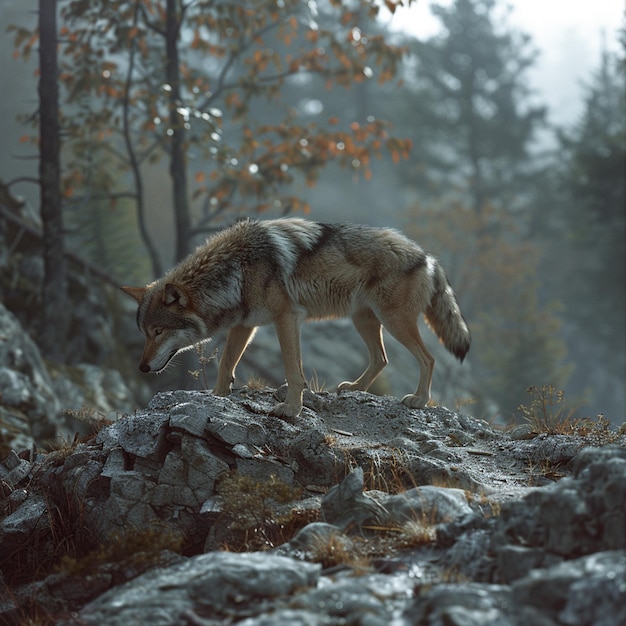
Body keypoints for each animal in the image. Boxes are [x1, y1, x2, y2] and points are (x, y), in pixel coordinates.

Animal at [122, 217, 468, 416]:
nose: (141, 367)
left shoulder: (286, 317)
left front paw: (290, 410)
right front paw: (217, 398)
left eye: (158, 331)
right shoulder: (245, 325)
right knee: (381, 359)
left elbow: (292, 370)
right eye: (145, 332)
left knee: (428, 359)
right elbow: (225, 366)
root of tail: (427, 256)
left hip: (393, 322)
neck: (235, 270)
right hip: (364, 320)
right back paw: (354, 388)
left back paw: (419, 400)